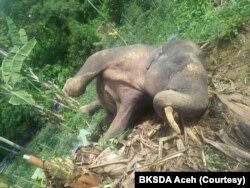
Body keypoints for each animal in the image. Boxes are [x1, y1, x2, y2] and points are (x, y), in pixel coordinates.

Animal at [63, 40, 208, 142]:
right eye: (178, 61)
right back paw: (82, 110)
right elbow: (96, 56)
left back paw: (91, 135)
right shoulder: (128, 51)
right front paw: (66, 88)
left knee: (108, 115)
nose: (179, 130)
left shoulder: (137, 98)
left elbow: (122, 121)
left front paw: (101, 142)